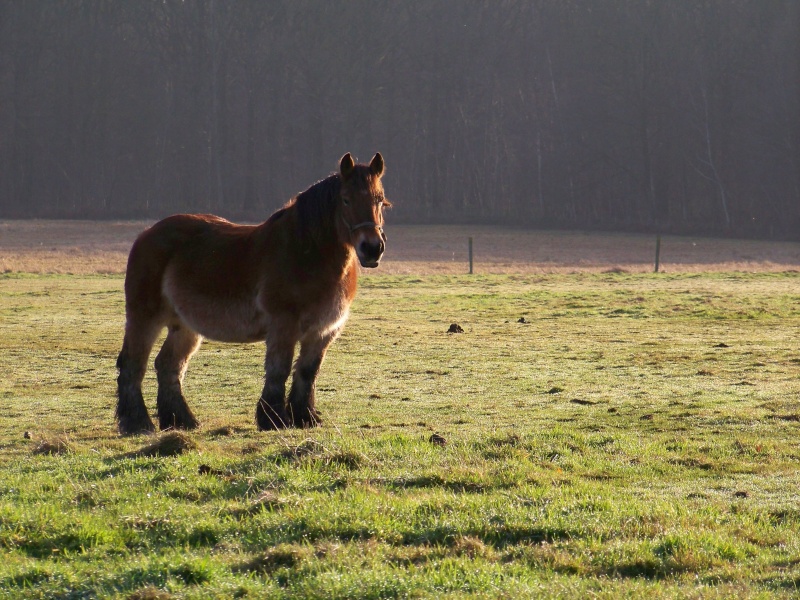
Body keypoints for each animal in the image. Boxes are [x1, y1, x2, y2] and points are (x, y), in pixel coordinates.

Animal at [116, 152, 390, 434]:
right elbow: (279, 369)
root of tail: (146, 234)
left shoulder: (323, 331)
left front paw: (305, 417)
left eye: (380, 200)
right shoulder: (283, 326)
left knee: (169, 365)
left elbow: (307, 372)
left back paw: (181, 421)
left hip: (184, 326)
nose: (372, 248)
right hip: (144, 318)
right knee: (133, 364)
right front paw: (274, 419)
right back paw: (137, 423)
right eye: (346, 199)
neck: (306, 253)